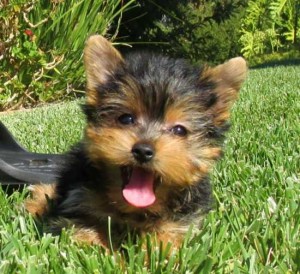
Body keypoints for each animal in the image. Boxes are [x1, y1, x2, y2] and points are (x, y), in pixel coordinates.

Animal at [26, 35, 246, 249]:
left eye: (179, 130)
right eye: (126, 119)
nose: (143, 150)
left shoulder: (180, 221)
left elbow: (166, 240)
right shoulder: (79, 200)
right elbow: (84, 229)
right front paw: (102, 249)